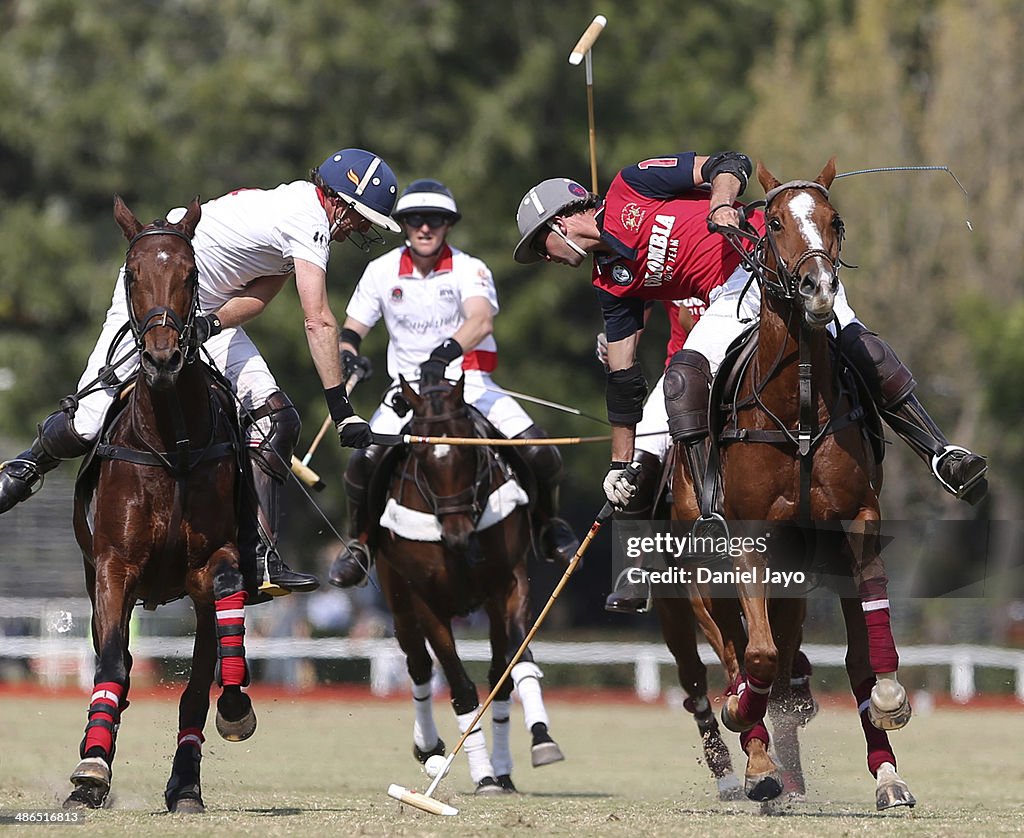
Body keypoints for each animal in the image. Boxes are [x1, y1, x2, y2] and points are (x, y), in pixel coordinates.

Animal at [64, 197, 256, 811]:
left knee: (199, 678)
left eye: (192, 275)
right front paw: (92, 769)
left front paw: (231, 716)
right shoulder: (112, 567)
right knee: (119, 662)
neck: (172, 443)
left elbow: (203, 674)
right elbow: (111, 661)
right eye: (131, 274)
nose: (164, 357)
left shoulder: (212, 563)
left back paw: (186, 779)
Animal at [376, 370, 565, 790]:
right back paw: (428, 747)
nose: (458, 535)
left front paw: (540, 739)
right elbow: (460, 687)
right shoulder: (426, 601)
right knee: (418, 665)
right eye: (421, 458)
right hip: (398, 600)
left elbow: (512, 666)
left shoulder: (509, 586)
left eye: (468, 451)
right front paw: (484, 776)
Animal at [667, 159, 917, 807]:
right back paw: (756, 761)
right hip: (702, 575)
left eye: (836, 221)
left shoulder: (858, 522)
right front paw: (744, 726)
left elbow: (865, 658)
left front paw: (889, 736)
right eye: (774, 221)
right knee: (739, 654)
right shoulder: (747, 540)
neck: (797, 411)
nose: (819, 289)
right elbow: (755, 655)